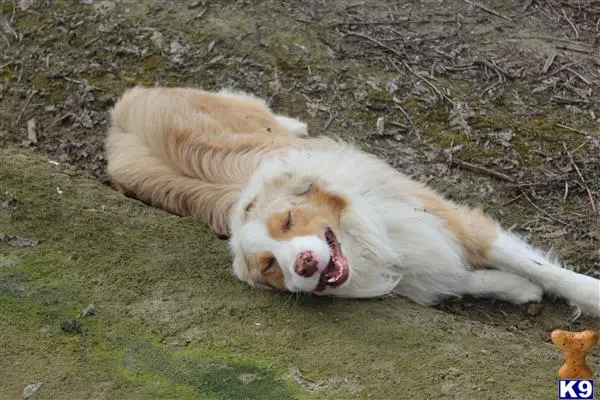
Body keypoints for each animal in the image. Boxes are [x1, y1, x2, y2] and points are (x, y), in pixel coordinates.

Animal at [105, 85, 600, 318]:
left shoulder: (446, 218)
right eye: (270, 266)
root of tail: (121, 110)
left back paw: (295, 123)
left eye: (289, 221)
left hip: (233, 109)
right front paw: (517, 289)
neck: (367, 237)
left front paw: (585, 293)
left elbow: (544, 269)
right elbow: (457, 278)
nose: (303, 264)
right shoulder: (415, 262)